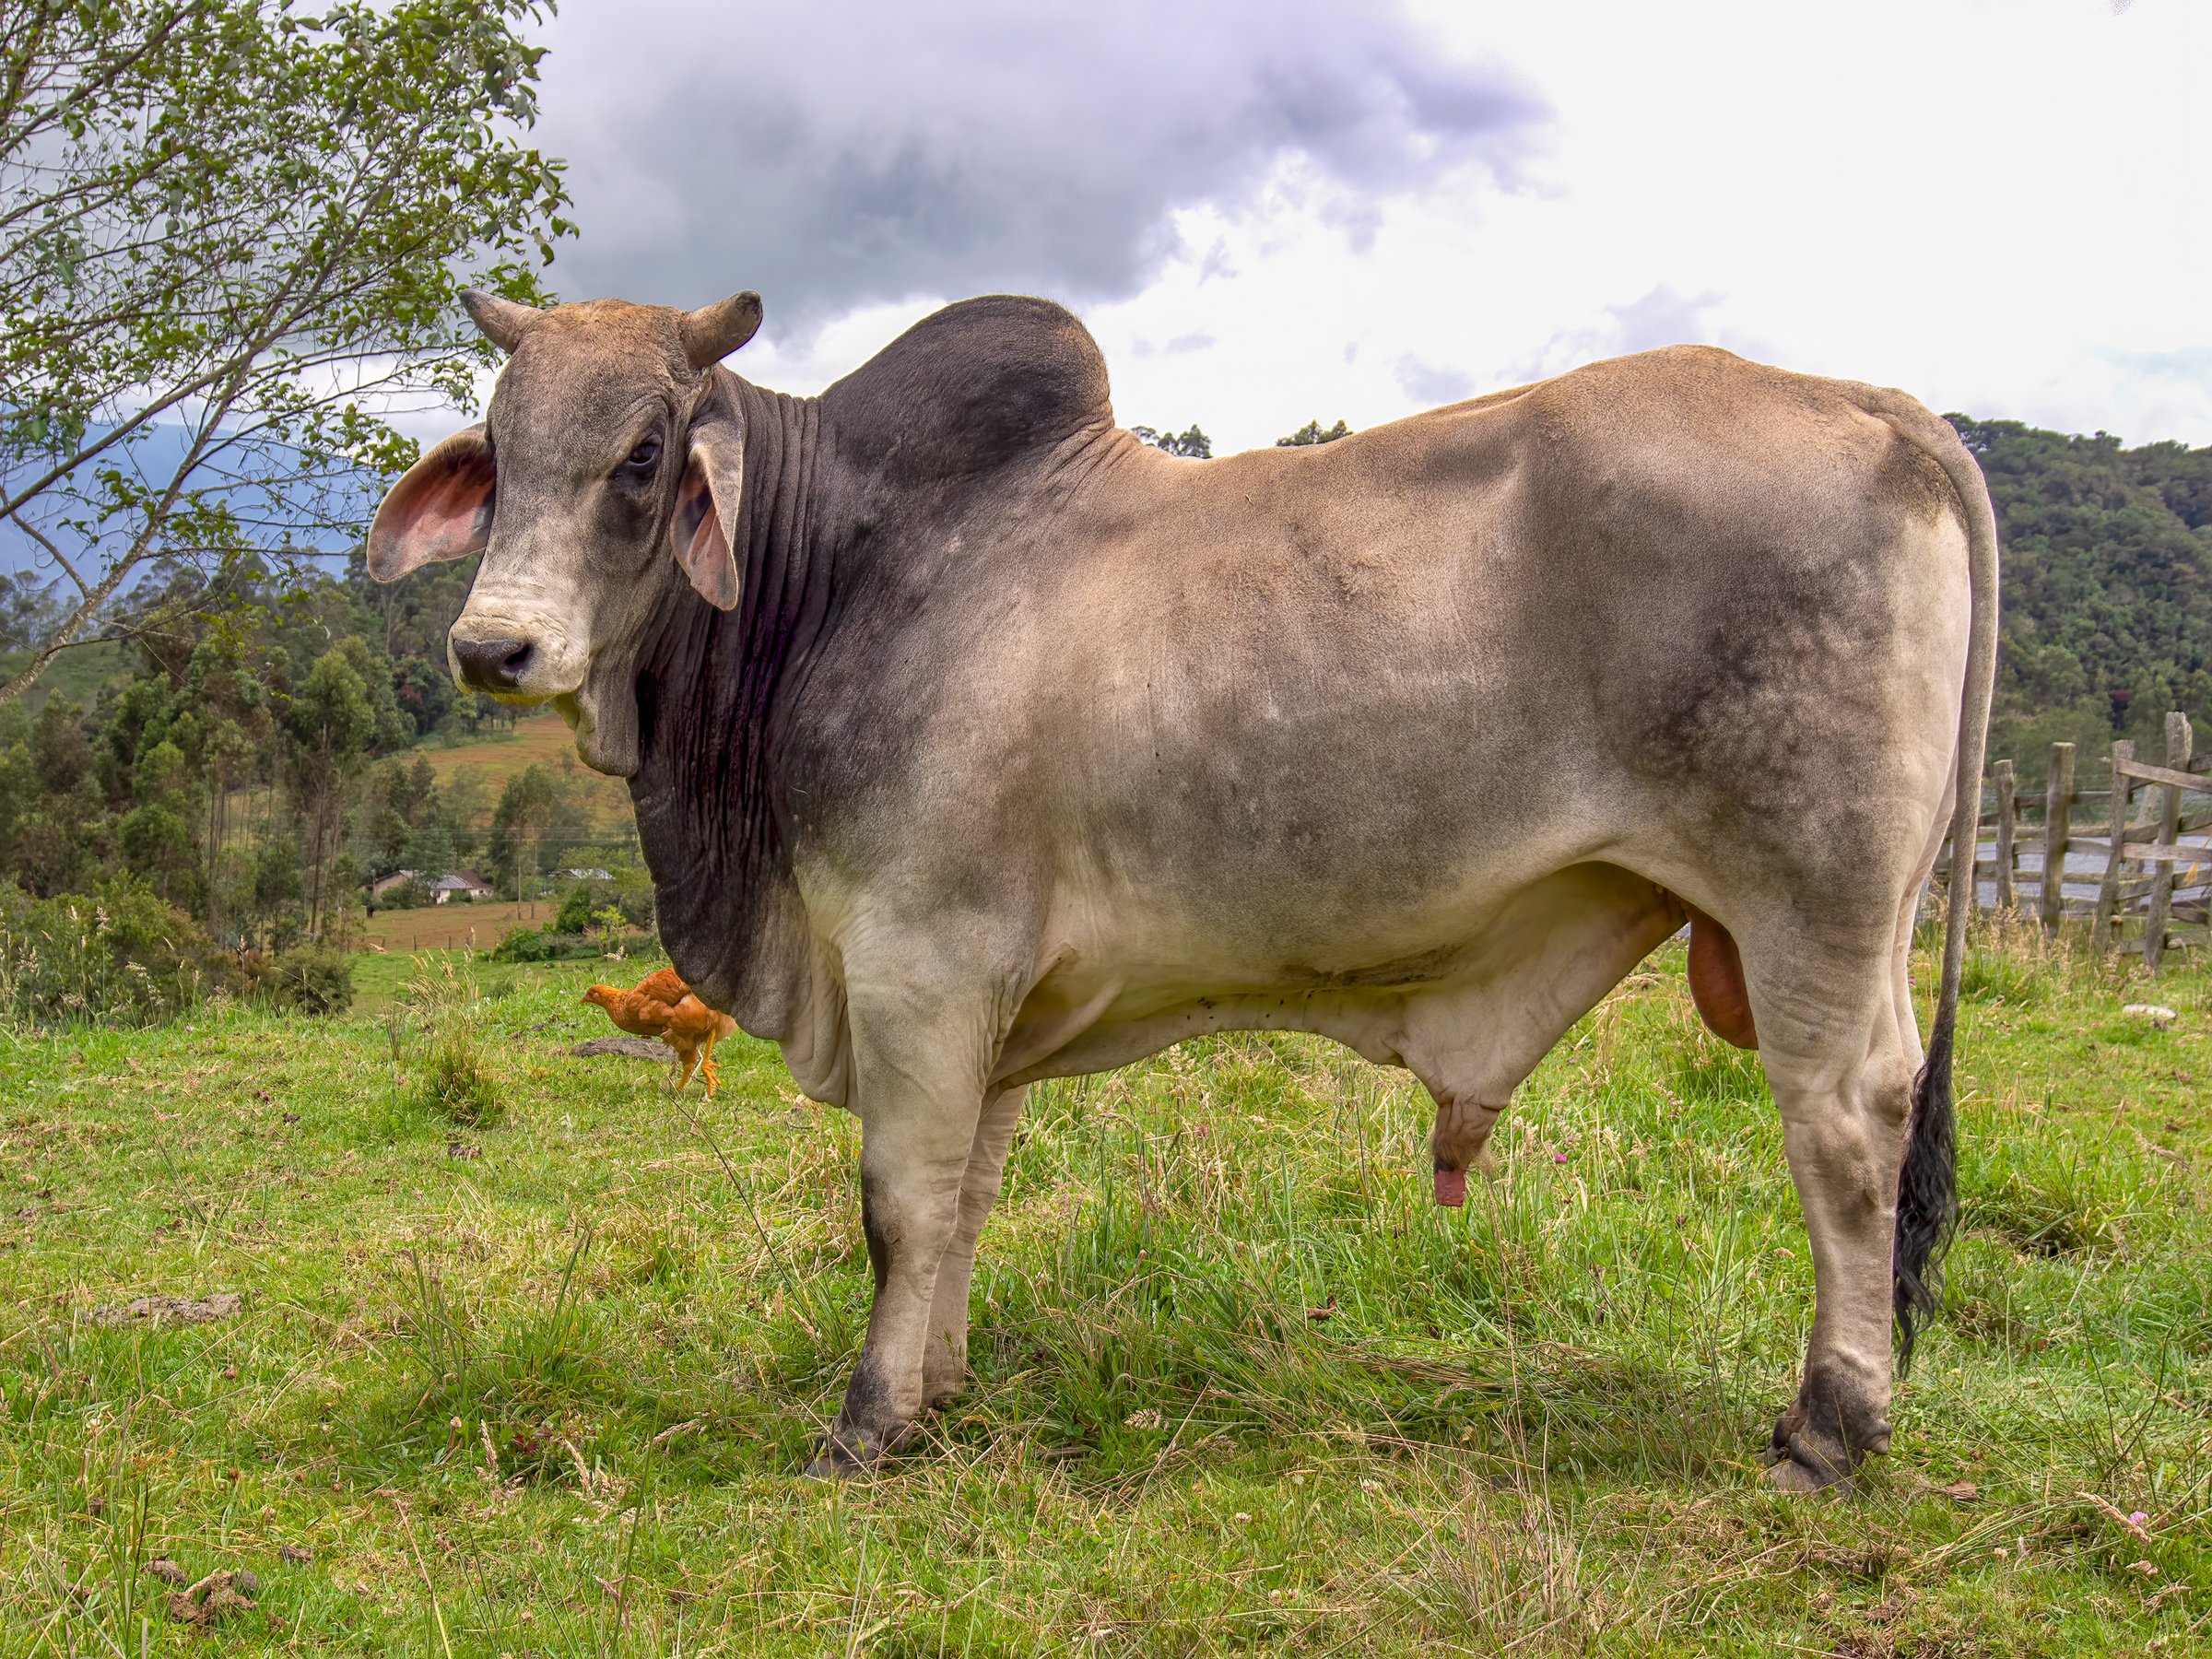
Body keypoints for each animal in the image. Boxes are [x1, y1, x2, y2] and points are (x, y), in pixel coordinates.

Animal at [368, 288, 1996, 1490]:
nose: (493, 649)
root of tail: (1886, 407)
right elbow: (967, 1198)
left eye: (646, 453)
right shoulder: (985, 996)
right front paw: (940, 1390)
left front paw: (867, 1424)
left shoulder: (915, 960)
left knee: (1847, 1131)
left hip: (1814, 908)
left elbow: (900, 1202)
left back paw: (1831, 1430)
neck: (837, 576)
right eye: (500, 445)